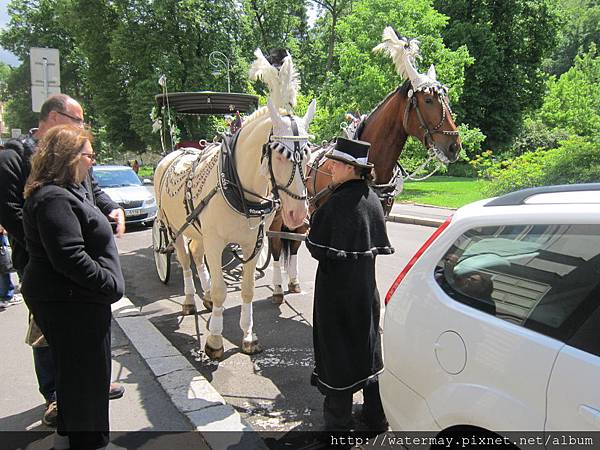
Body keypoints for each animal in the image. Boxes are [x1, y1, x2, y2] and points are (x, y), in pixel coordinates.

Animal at [152, 97, 316, 358]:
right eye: (280, 155)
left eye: (309, 155)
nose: (298, 214)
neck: (237, 185)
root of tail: (175, 153)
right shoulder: (215, 242)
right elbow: (221, 290)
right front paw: (215, 340)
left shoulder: (253, 244)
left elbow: (247, 289)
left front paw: (248, 336)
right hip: (174, 227)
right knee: (185, 260)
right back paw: (189, 300)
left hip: (199, 232)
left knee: (196, 254)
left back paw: (206, 296)